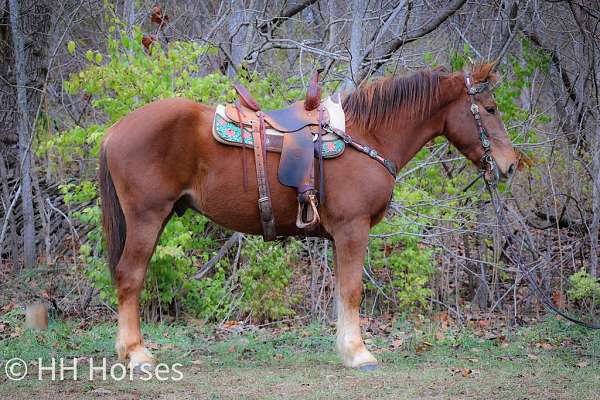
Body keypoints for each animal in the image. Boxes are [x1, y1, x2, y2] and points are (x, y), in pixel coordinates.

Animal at [101, 63, 516, 372]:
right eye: (491, 109)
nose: (510, 165)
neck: (368, 136)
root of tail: (115, 130)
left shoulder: (339, 236)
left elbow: (341, 290)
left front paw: (346, 349)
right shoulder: (353, 229)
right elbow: (352, 290)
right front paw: (359, 353)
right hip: (147, 218)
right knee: (130, 277)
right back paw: (137, 353)